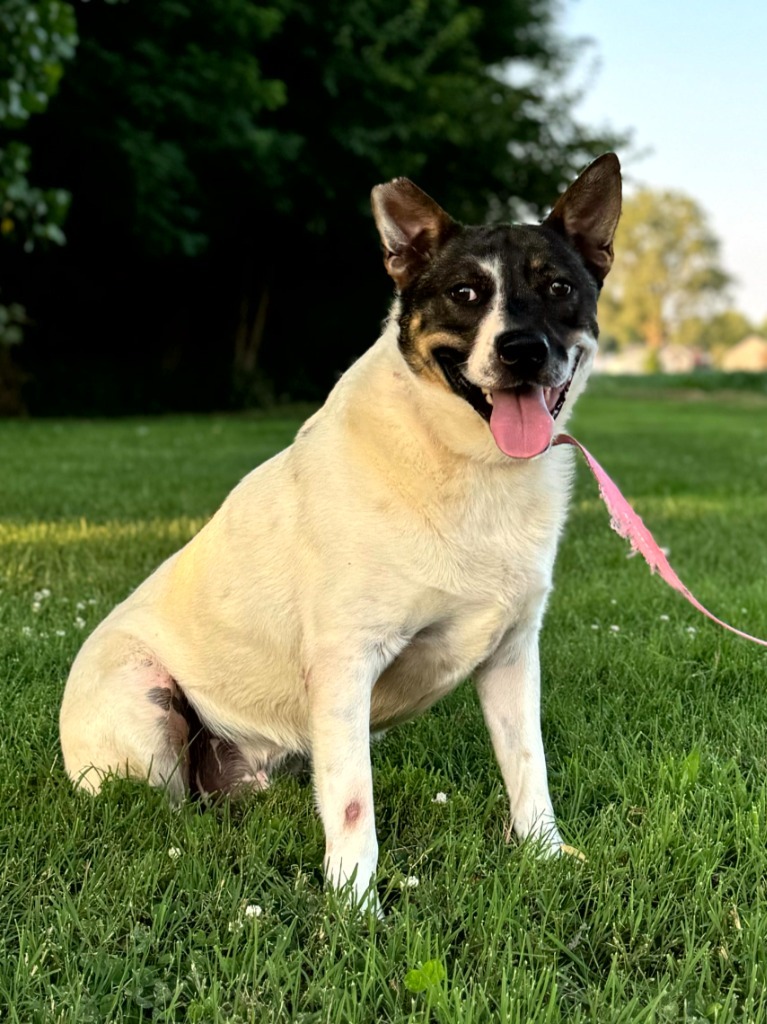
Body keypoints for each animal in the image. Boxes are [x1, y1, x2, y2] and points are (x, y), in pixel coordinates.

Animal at [61, 153, 622, 913]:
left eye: (559, 287)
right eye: (465, 292)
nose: (522, 351)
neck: (467, 465)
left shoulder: (510, 656)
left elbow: (526, 765)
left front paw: (545, 855)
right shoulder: (346, 662)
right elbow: (355, 802)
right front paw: (357, 910)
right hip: (145, 705)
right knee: (170, 811)